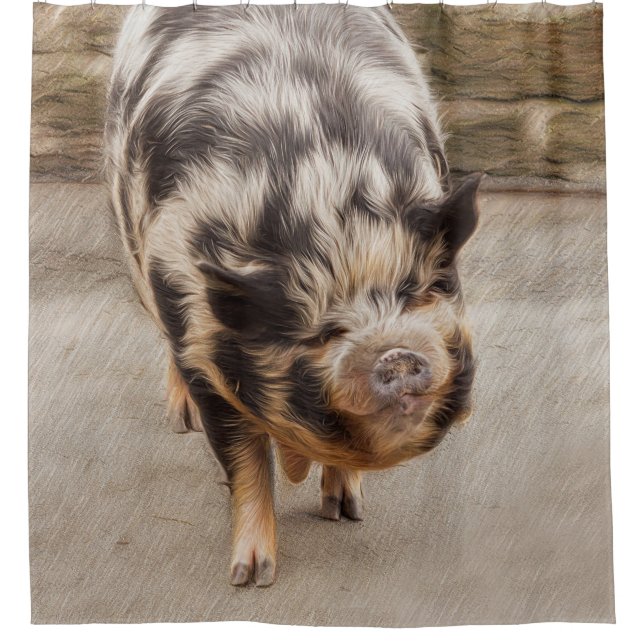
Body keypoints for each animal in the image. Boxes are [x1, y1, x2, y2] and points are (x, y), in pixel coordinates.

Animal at [104, 4, 480, 587]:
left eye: (417, 293)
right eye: (324, 331)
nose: (396, 353)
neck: (330, 211)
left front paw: (347, 512)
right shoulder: (199, 342)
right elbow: (243, 458)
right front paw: (251, 577)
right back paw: (180, 421)